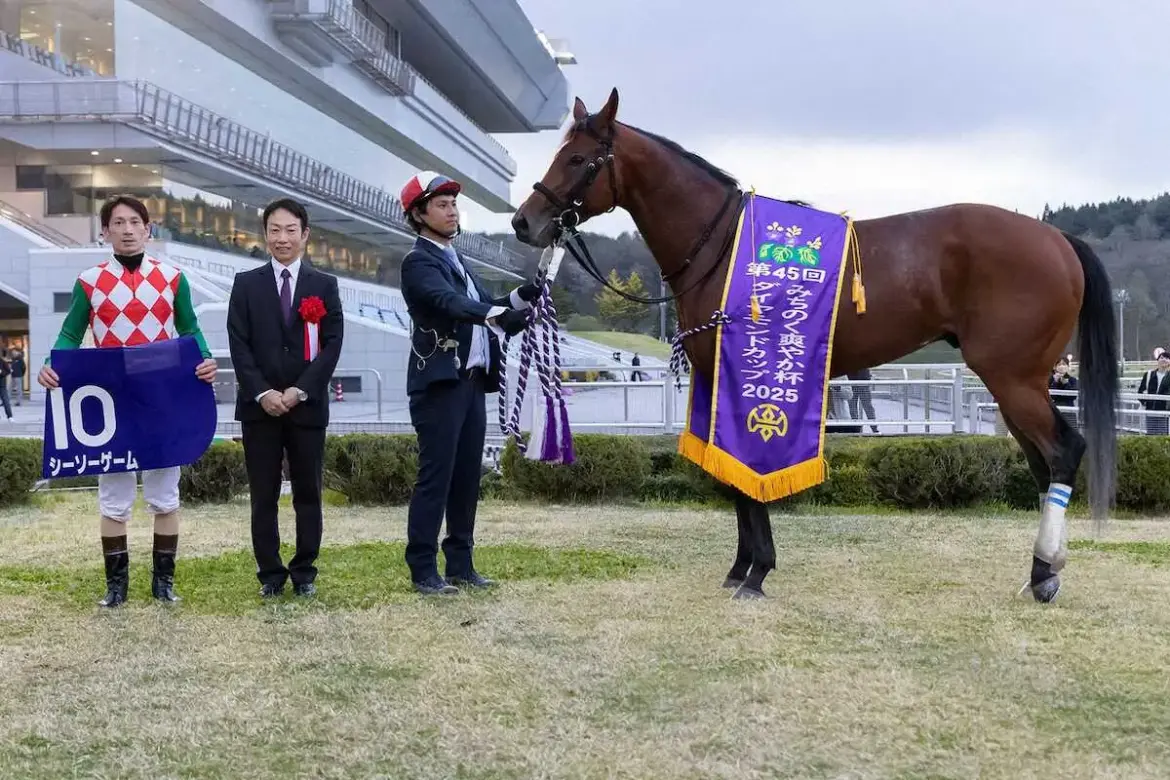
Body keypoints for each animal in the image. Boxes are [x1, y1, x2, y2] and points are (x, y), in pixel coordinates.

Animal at [510, 88, 1119, 604]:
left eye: (578, 159)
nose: (523, 222)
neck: (724, 246)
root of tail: (1056, 239)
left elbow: (747, 476)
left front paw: (755, 573)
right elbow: (731, 477)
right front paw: (741, 567)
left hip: (1013, 379)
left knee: (1064, 452)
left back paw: (1044, 570)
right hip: (1016, 382)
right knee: (1043, 465)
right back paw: (1043, 574)